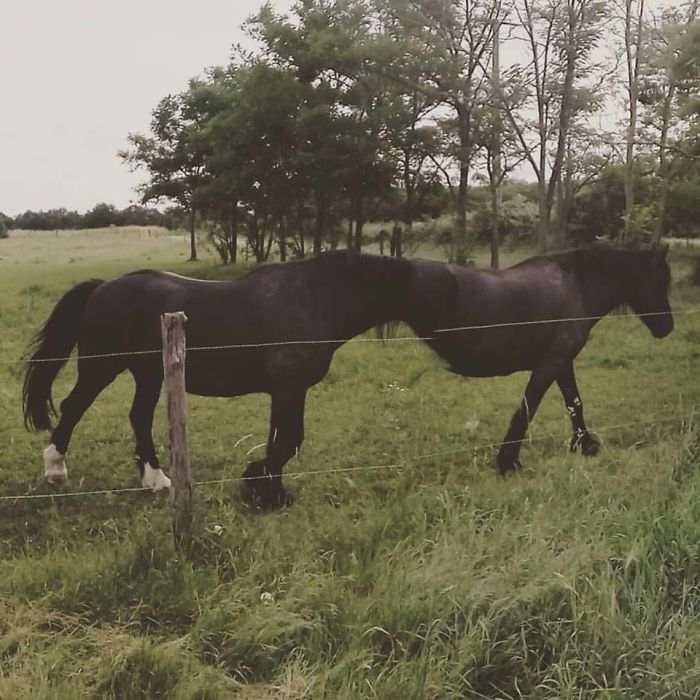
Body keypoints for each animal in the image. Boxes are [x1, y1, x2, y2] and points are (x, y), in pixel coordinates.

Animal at [22, 245, 673, 508]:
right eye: (658, 279)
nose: (667, 326)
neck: (315, 298)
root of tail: (104, 287)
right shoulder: (287, 387)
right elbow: (285, 440)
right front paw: (263, 489)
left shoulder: (291, 391)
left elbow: (288, 440)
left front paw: (262, 485)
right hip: (104, 366)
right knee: (74, 410)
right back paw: (55, 470)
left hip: (148, 374)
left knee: (135, 419)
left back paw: (157, 481)